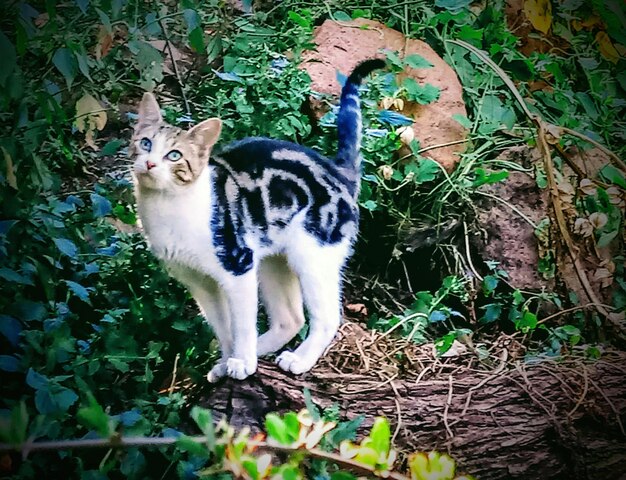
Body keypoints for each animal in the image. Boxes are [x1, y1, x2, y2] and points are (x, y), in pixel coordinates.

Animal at [129, 59, 382, 382]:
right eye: (145, 143)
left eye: (174, 156)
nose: (150, 163)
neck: (167, 208)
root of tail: (338, 171)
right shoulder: (198, 281)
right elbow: (223, 327)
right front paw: (229, 360)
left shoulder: (238, 266)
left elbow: (242, 324)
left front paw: (243, 362)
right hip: (272, 261)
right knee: (291, 318)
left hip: (311, 256)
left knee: (327, 317)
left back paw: (299, 359)